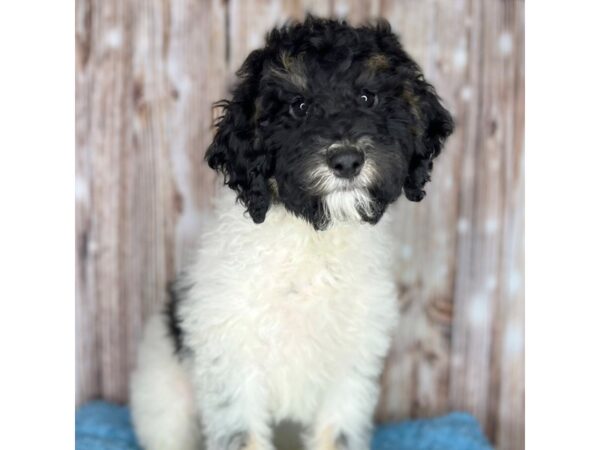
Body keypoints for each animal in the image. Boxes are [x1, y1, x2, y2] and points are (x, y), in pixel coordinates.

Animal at [130, 14, 450, 450]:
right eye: (299, 107)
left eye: (368, 97)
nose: (346, 160)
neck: (314, 241)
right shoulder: (231, 361)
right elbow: (244, 435)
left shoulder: (351, 366)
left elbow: (336, 433)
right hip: (165, 399)